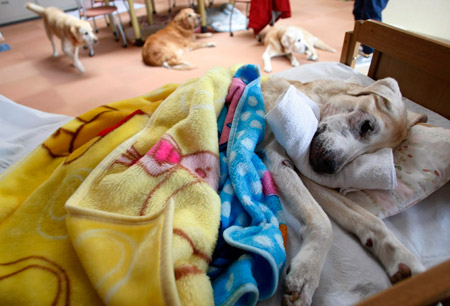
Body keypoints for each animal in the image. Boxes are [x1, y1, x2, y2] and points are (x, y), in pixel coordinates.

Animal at [258, 75, 428, 304]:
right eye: (366, 125)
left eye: (371, 155)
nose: (329, 167)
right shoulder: (278, 158)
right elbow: (323, 220)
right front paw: (306, 274)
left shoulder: (305, 171)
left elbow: (371, 220)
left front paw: (402, 258)